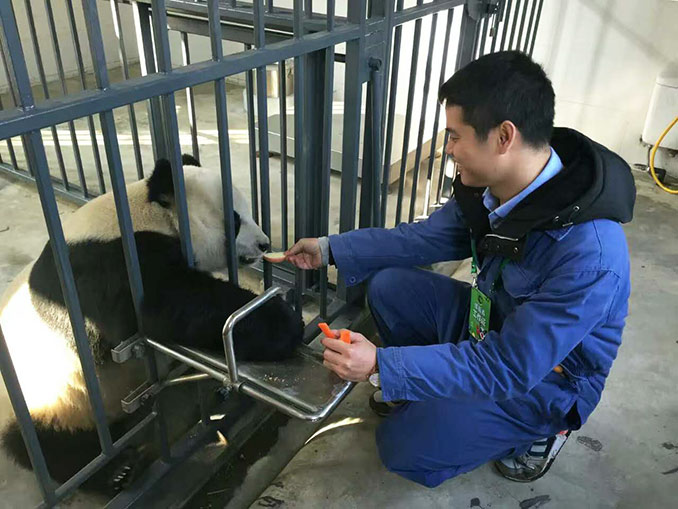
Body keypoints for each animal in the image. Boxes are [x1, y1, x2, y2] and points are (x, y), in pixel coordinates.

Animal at [0, 154, 306, 492]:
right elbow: (168, 306)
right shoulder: (112, 267)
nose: (264, 244)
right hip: (45, 394)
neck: (149, 215)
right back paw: (118, 471)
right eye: (235, 218)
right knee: (50, 446)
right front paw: (285, 323)